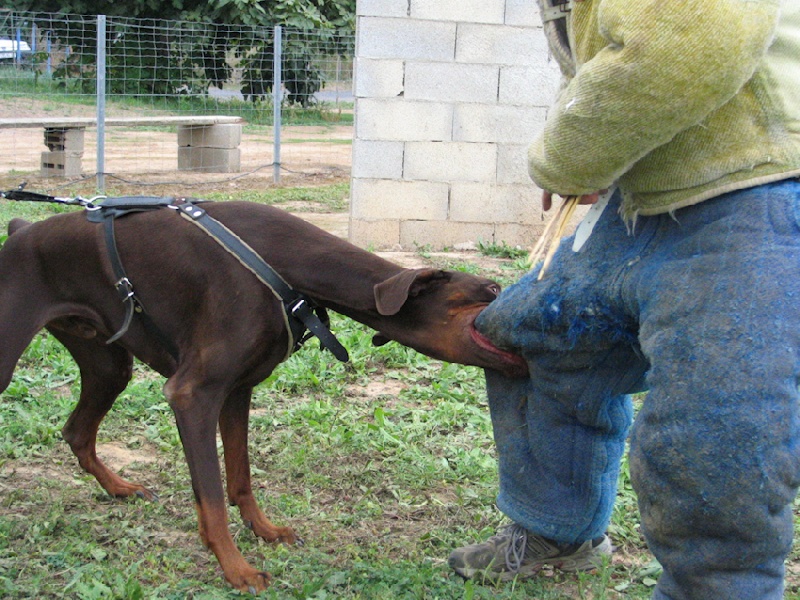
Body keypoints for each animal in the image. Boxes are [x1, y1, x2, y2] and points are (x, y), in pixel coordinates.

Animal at [0, 202, 524, 592]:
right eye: (492, 286)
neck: (288, 264)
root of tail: (21, 230)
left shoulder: (238, 391)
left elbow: (240, 476)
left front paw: (264, 530)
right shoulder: (193, 394)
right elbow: (211, 497)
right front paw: (236, 569)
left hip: (107, 363)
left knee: (77, 429)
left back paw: (120, 488)